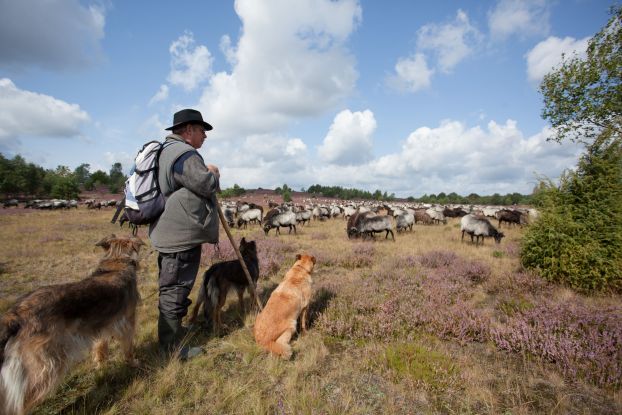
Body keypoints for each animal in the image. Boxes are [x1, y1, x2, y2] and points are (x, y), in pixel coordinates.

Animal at [0, 234, 144, 415]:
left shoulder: (101, 327)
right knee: (20, 403)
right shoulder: (128, 323)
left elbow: (100, 349)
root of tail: (16, 314)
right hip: (47, 366)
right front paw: (133, 363)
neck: (117, 261)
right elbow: (128, 348)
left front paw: (100, 367)